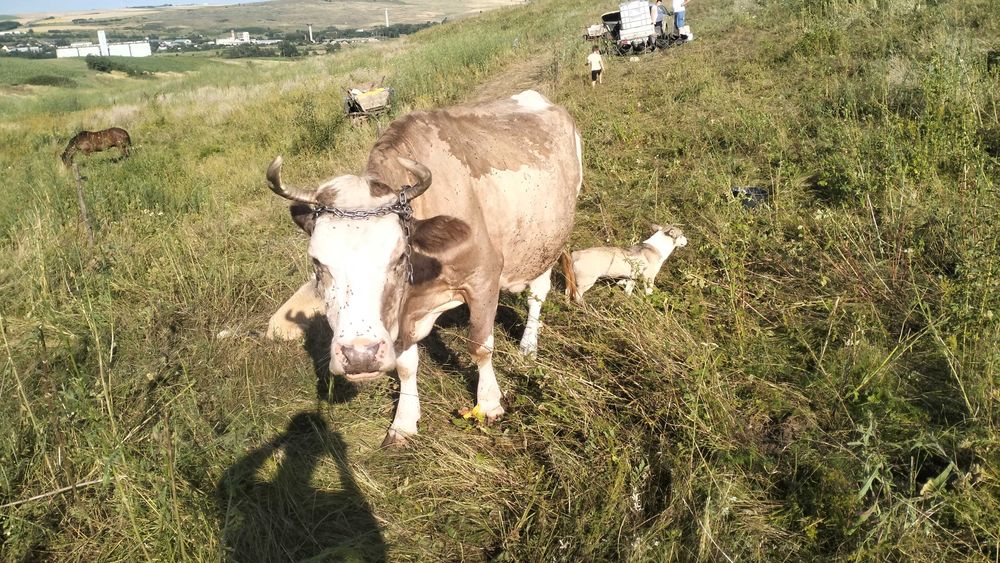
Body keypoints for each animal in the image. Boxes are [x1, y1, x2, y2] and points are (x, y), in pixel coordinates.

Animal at [265, 90, 583, 446]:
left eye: (399, 257)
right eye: (317, 262)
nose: (360, 355)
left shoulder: (484, 278)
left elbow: (480, 346)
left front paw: (488, 403)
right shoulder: (403, 312)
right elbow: (405, 364)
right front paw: (404, 422)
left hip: (547, 239)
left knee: (537, 294)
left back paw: (528, 346)